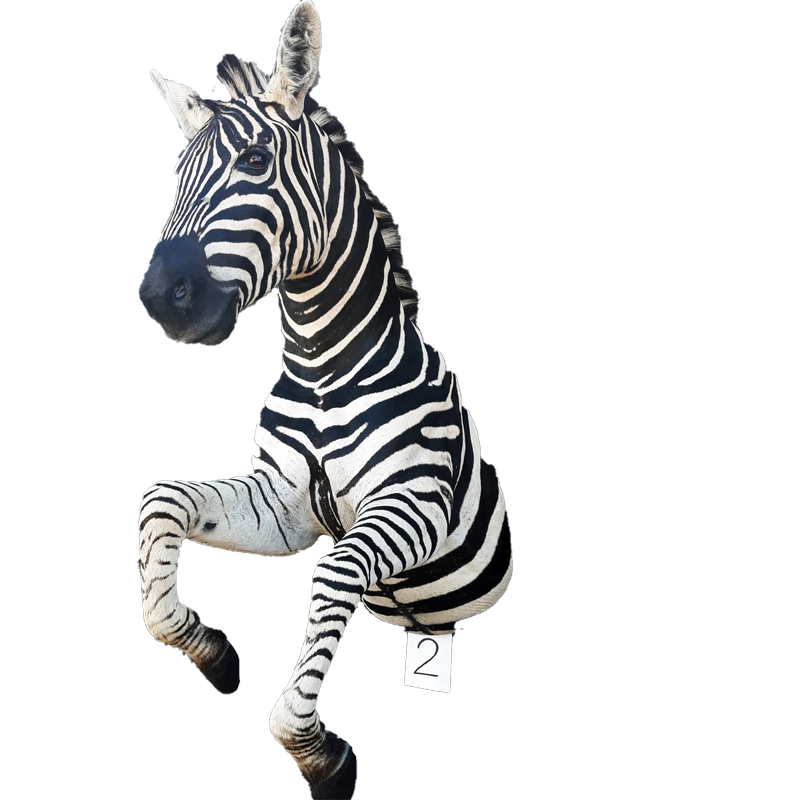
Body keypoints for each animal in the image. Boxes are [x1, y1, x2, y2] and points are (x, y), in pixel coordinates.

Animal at [137, 2, 512, 797]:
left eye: (254, 163)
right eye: (176, 174)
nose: (157, 297)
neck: (322, 365)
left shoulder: (415, 503)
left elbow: (336, 570)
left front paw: (316, 754)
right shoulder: (280, 506)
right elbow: (162, 502)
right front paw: (215, 651)